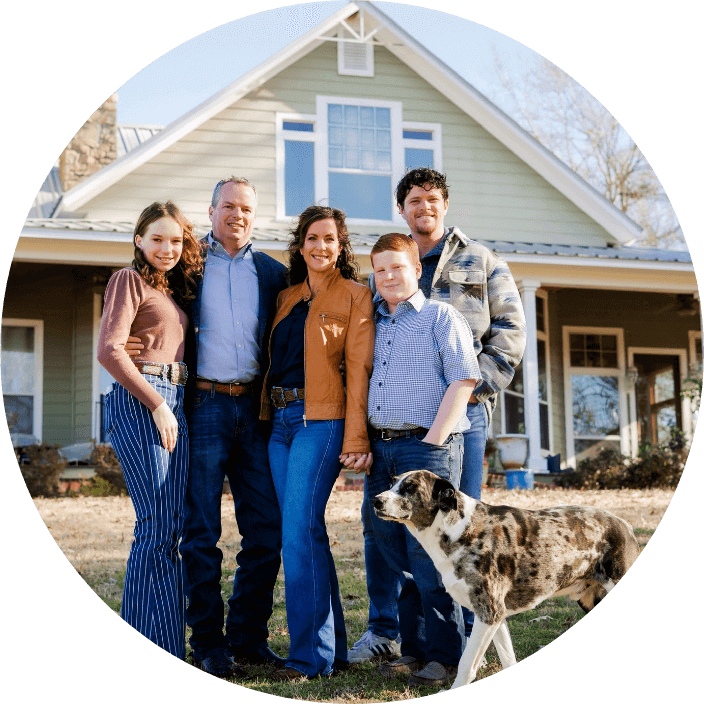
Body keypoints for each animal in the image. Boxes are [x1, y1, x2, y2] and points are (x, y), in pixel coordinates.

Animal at [376, 468, 640, 688]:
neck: (458, 529)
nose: (376, 500)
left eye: (410, 487)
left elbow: (466, 664)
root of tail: (626, 526)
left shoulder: (487, 613)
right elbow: (506, 658)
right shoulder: (496, 619)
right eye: (392, 483)